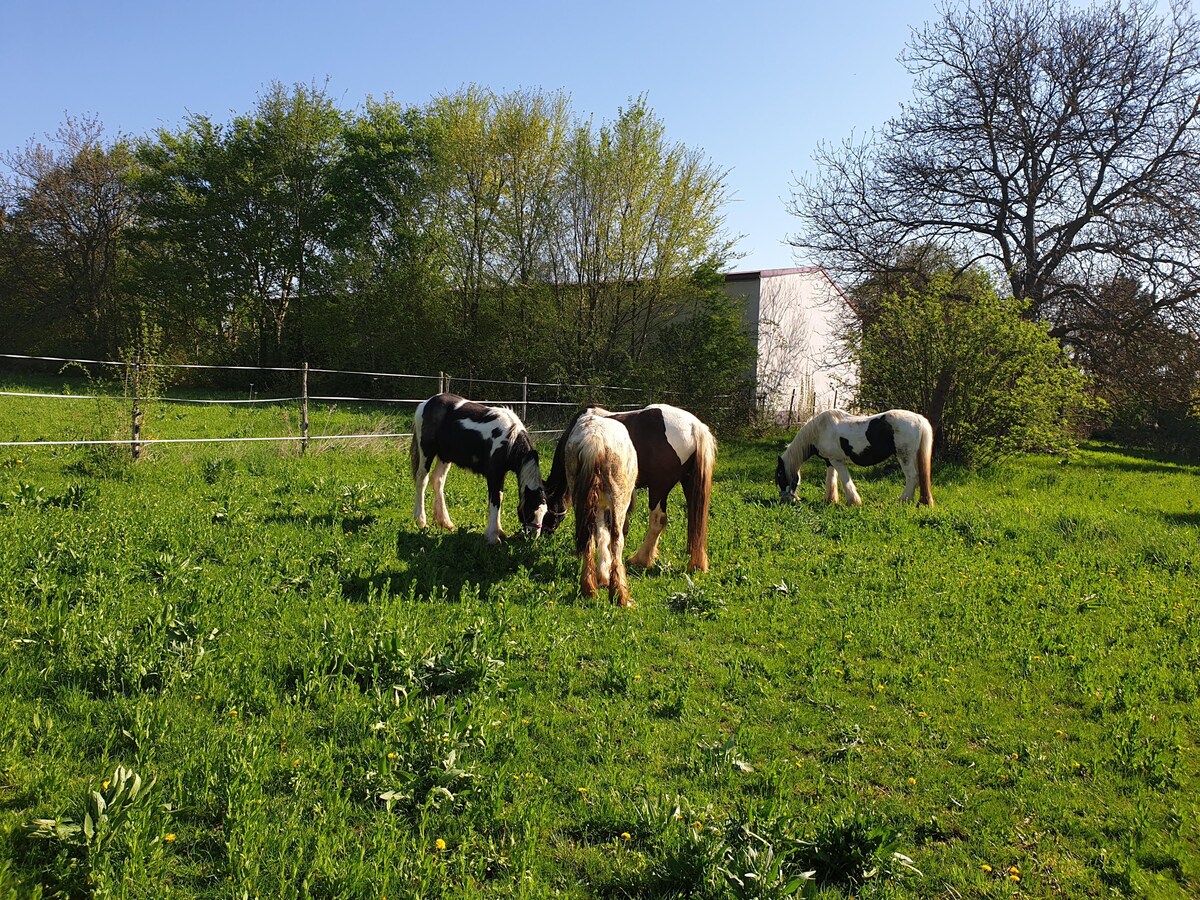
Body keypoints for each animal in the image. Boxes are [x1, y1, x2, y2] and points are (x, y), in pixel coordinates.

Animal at [410, 393, 547, 547]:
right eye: (530, 510)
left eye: (544, 513)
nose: (534, 537)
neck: (510, 439)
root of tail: (426, 403)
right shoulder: (494, 474)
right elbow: (495, 500)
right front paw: (493, 536)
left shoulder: (501, 474)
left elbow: (500, 497)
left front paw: (499, 531)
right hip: (426, 452)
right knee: (422, 480)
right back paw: (421, 521)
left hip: (444, 456)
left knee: (438, 480)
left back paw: (445, 522)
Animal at [549, 405, 715, 573]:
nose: (546, 533)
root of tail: (695, 427)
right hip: (688, 483)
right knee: (695, 524)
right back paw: (696, 564)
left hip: (658, 488)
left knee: (658, 521)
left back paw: (640, 559)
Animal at [559, 412, 638, 609]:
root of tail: (594, 440)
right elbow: (609, 538)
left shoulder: (599, 506)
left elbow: (601, 535)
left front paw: (602, 576)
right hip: (619, 499)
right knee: (617, 539)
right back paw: (620, 595)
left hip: (580, 498)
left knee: (589, 539)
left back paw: (589, 589)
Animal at [777, 408, 936, 508]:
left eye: (780, 475)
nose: (786, 500)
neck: (819, 430)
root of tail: (919, 419)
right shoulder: (829, 461)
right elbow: (831, 480)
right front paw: (830, 500)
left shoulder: (837, 461)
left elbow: (844, 480)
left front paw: (853, 502)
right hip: (914, 457)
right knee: (919, 478)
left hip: (904, 456)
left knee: (912, 477)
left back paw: (903, 500)